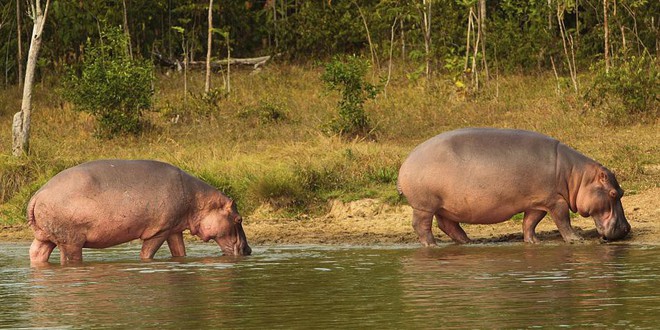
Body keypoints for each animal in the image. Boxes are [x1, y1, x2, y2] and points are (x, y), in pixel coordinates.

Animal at [27, 159, 251, 264]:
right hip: (71, 241)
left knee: (36, 252)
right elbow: (147, 254)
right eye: (239, 218)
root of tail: (37, 195)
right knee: (69, 258)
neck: (199, 200)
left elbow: (180, 251)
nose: (249, 250)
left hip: (45, 236)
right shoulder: (159, 230)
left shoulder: (174, 228)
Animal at [400, 127, 632, 246]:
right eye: (613, 193)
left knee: (447, 225)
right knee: (422, 226)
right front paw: (577, 239)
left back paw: (468, 242)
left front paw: (533, 242)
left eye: (621, 191)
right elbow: (563, 220)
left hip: (445, 206)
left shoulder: (537, 202)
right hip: (424, 206)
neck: (577, 176)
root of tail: (406, 161)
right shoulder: (555, 200)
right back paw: (433, 246)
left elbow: (530, 223)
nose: (627, 229)